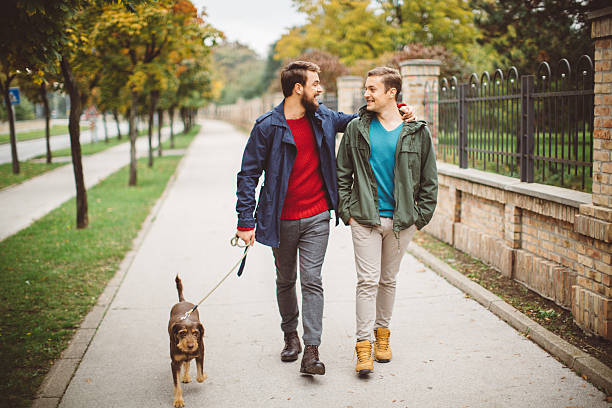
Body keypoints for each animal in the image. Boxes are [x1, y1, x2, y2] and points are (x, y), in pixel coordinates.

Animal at [169, 276, 207, 406]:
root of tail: (183, 301)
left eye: (196, 333)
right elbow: (176, 385)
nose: (190, 346)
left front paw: (204, 375)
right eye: (182, 333)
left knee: (187, 362)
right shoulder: (174, 363)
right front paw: (178, 400)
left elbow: (200, 376)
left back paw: (186, 376)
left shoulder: (200, 354)